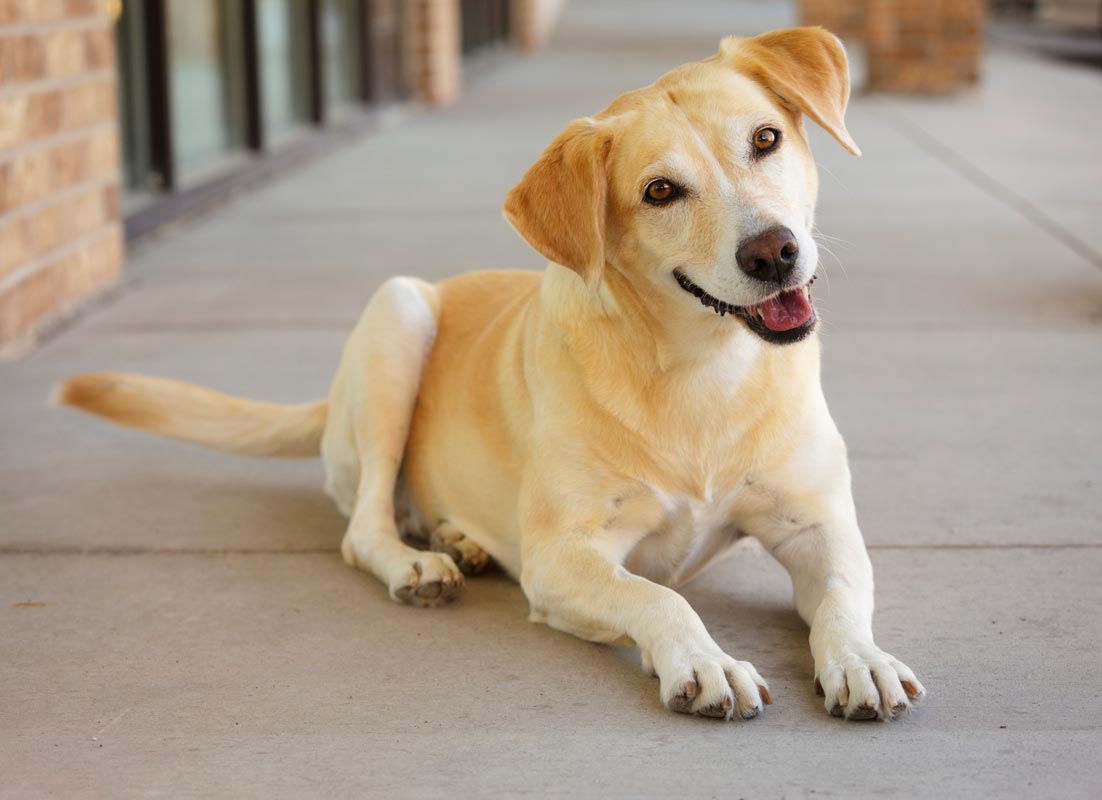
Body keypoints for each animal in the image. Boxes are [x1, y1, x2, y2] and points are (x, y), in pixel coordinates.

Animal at [60, 28, 921, 722]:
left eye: (766, 138)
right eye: (661, 191)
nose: (774, 252)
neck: (704, 368)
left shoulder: (820, 528)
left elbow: (843, 597)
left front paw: (861, 660)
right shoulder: (561, 558)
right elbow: (658, 593)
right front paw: (704, 660)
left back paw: (462, 537)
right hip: (398, 315)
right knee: (363, 525)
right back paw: (418, 560)